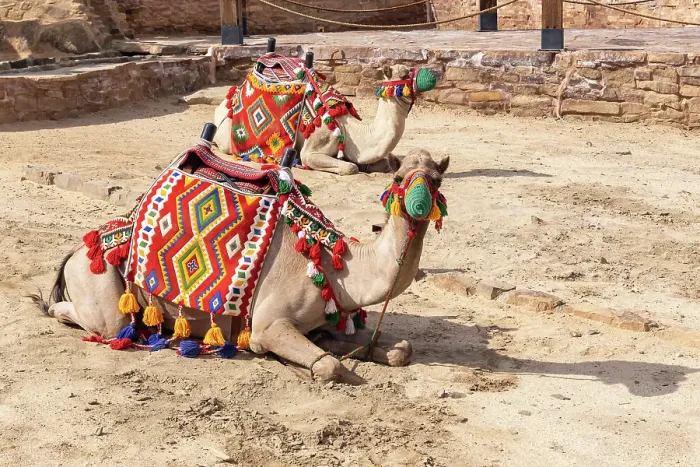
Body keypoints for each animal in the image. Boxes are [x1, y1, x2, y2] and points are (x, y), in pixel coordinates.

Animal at [32, 149, 449, 384]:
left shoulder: (321, 323)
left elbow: (401, 349)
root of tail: (76, 250)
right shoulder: (270, 323)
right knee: (102, 321)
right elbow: (328, 365)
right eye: (399, 177)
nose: (418, 205)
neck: (335, 267)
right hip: (97, 280)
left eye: (436, 178)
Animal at [213, 64, 420, 176]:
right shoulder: (316, 143)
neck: (349, 130)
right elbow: (350, 167)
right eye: (404, 74)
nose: (422, 75)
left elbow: (384, 163)